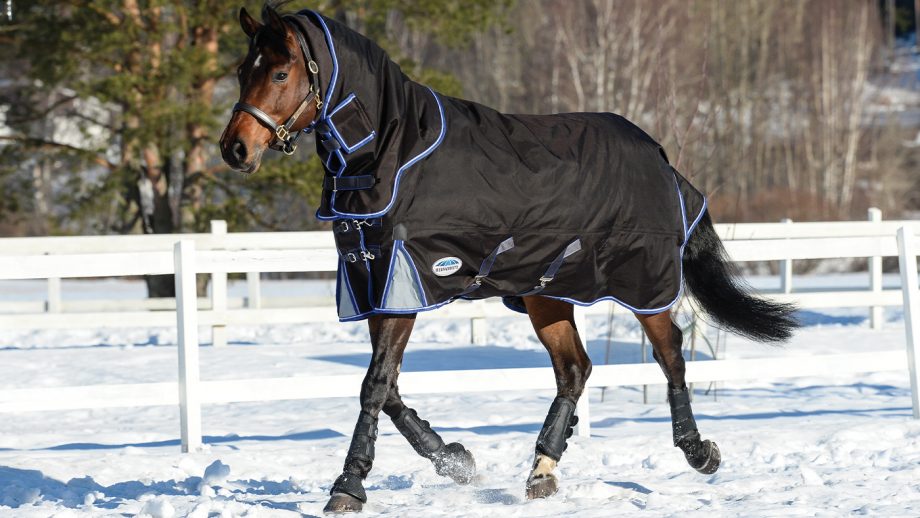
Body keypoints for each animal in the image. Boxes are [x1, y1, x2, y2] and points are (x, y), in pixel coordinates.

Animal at [219, 3, 798, 514]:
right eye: (243, 71)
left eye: (280, 71)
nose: (235, 149)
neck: (395, 152)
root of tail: (660, 157)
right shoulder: (375, 284)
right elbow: (389, 388)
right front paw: (454, 460)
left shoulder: (405, 283)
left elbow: (375, 385)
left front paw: (348, 487)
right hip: (547, 293)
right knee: (575, 369)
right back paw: (542, 470)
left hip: (644, 283)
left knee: (671, 353)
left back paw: (700, 453)